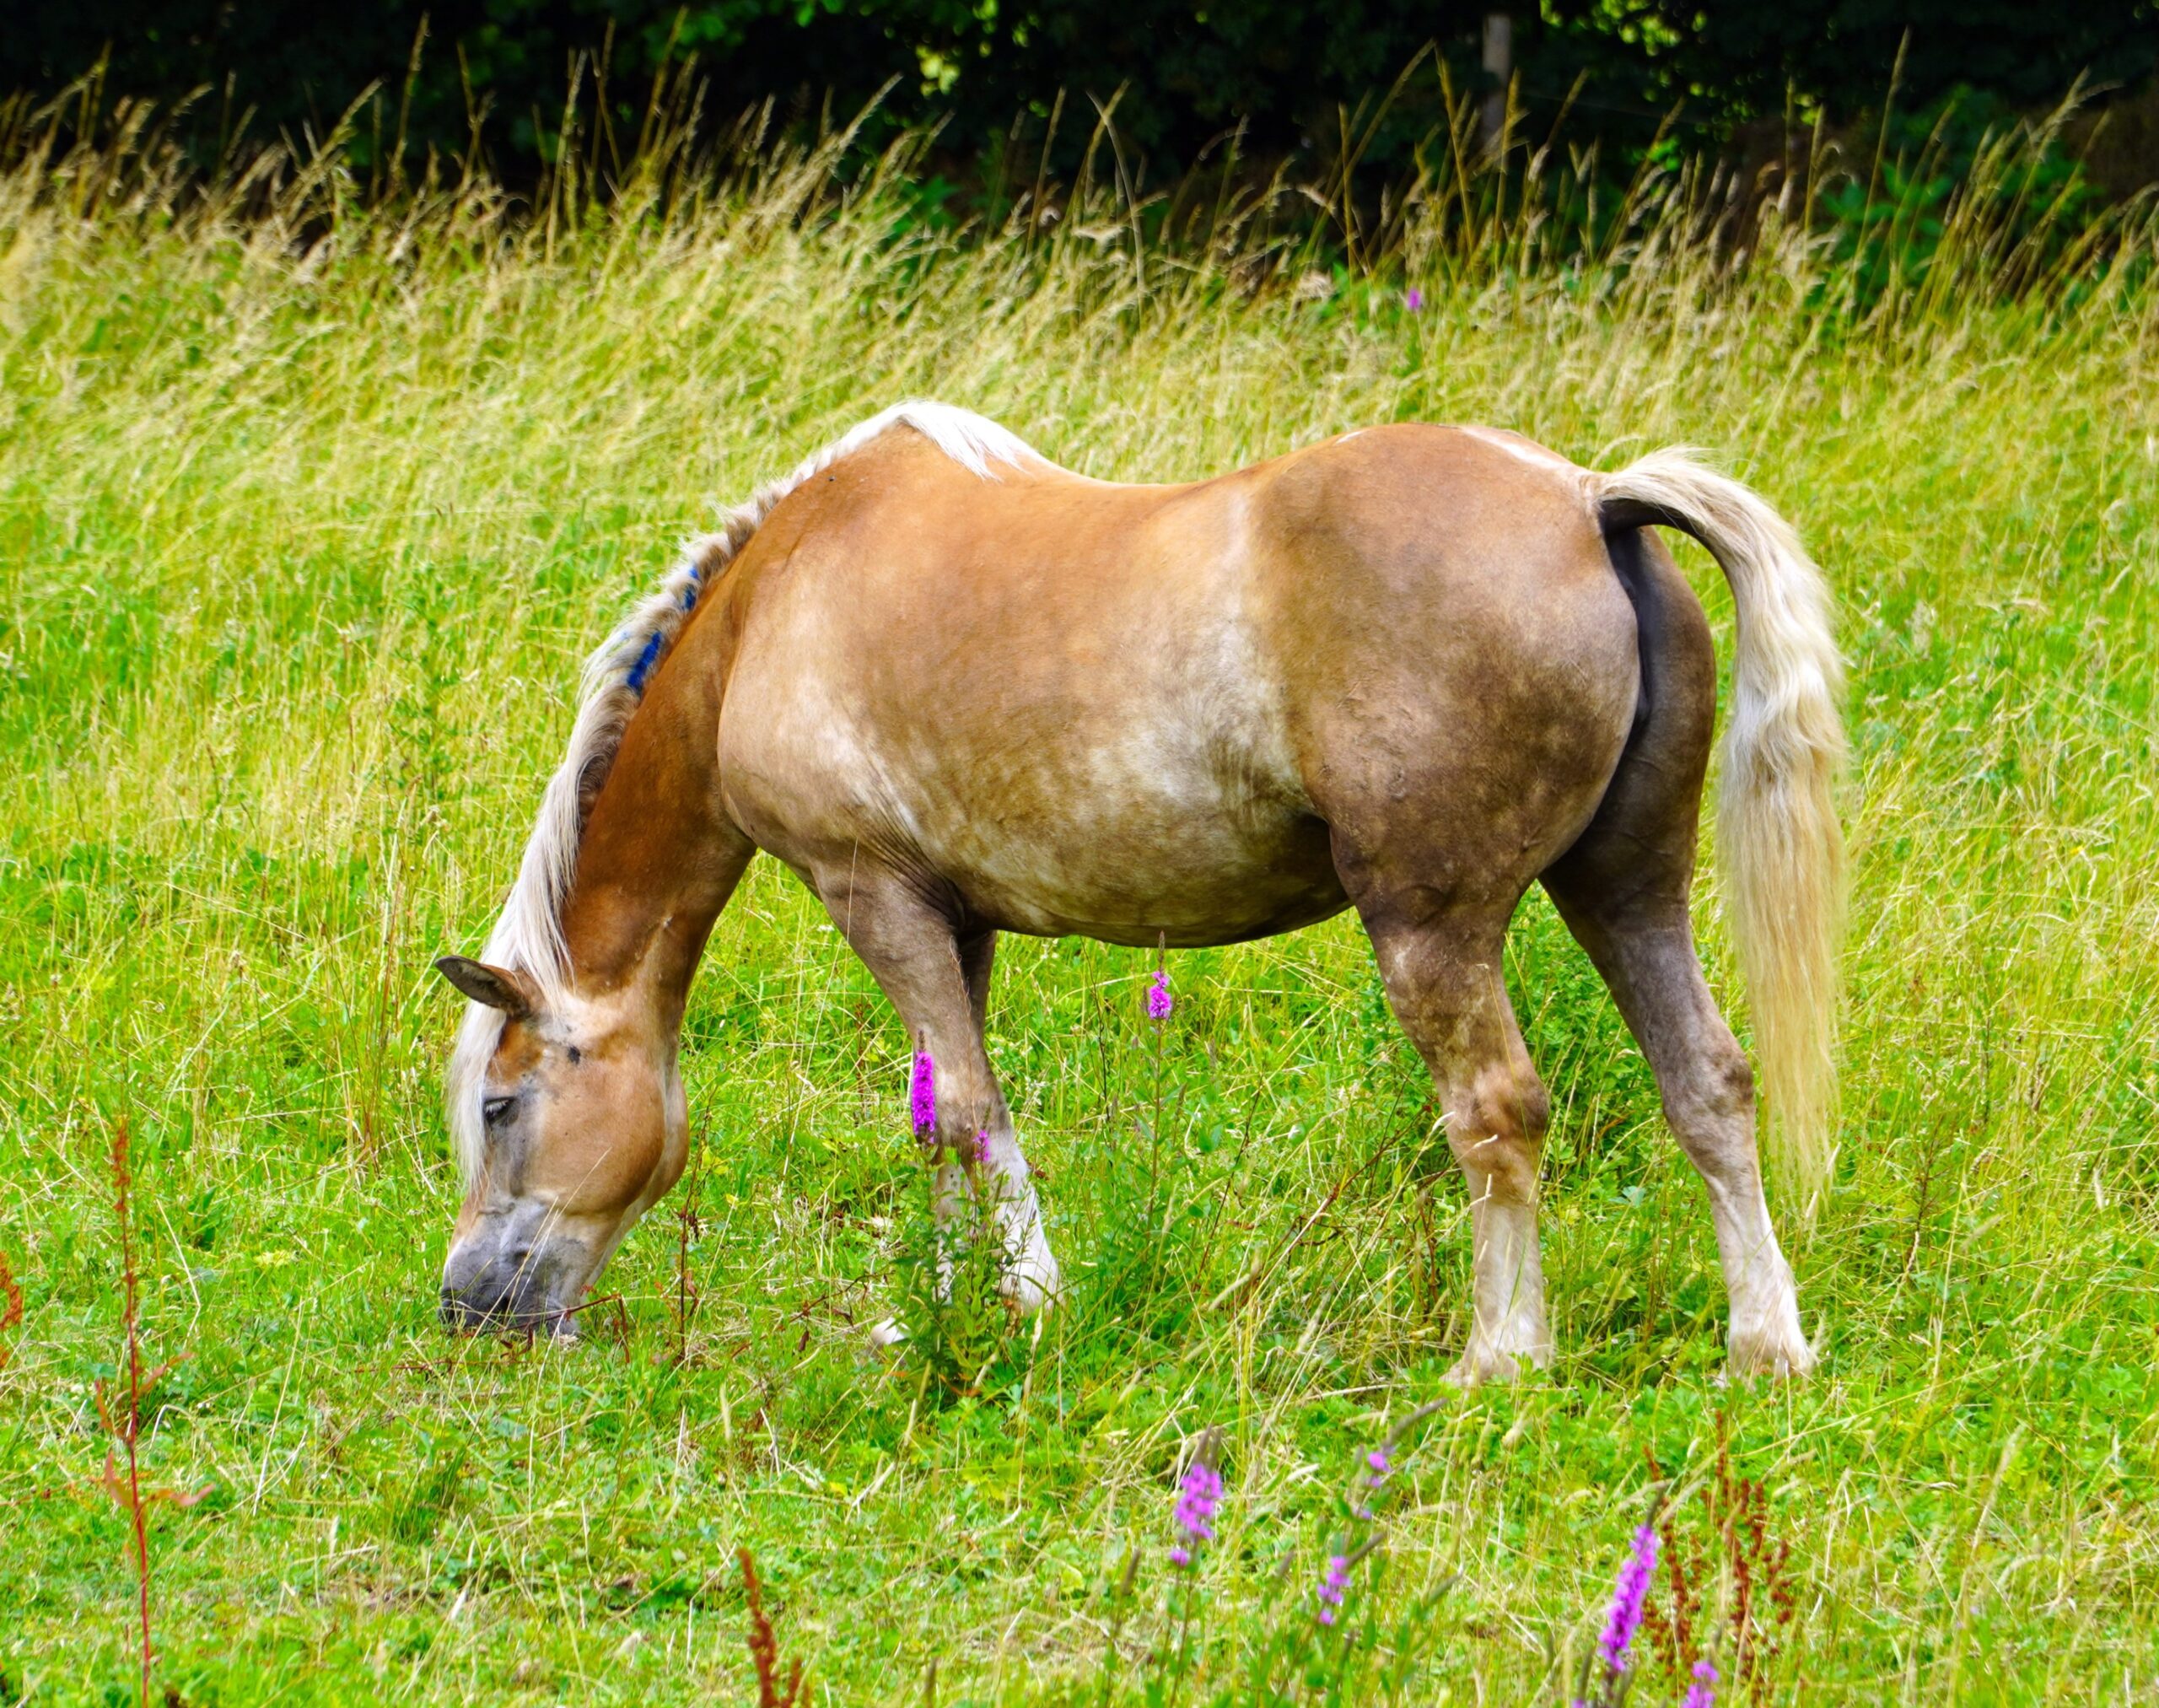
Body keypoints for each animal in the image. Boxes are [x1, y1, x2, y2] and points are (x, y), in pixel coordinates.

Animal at [432, 401, 1843, 1382]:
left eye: (502, 1104)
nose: (467, 1303)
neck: (776, 602)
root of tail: (1590, 502)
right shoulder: (955, 916)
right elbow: (940, 1113)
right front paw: (951, 1303)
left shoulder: (870, 891)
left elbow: (970, 1114)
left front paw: (1032, 1304)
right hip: (1626, 890)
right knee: (1708, 1082)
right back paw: (1765, 1345)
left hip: (1434, 930)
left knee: (1498, 1113)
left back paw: (1501, 1359)